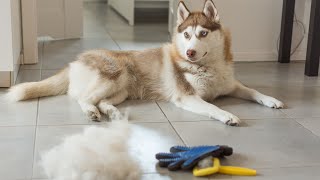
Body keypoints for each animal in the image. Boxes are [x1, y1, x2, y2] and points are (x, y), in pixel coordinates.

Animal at [6, 0, 282, 126]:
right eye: (186, 35)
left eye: (203, 33)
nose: (190, 52)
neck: (208, 67)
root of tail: (75, 61)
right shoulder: (188, 97)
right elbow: (213, 107)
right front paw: (228, 115)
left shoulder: (232, 85)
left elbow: (254, 91)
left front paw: (272, 100)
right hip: (114, 75)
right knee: (84, 99)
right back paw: (93, 113)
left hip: (121, 90)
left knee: (103, 101)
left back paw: (111, 112)